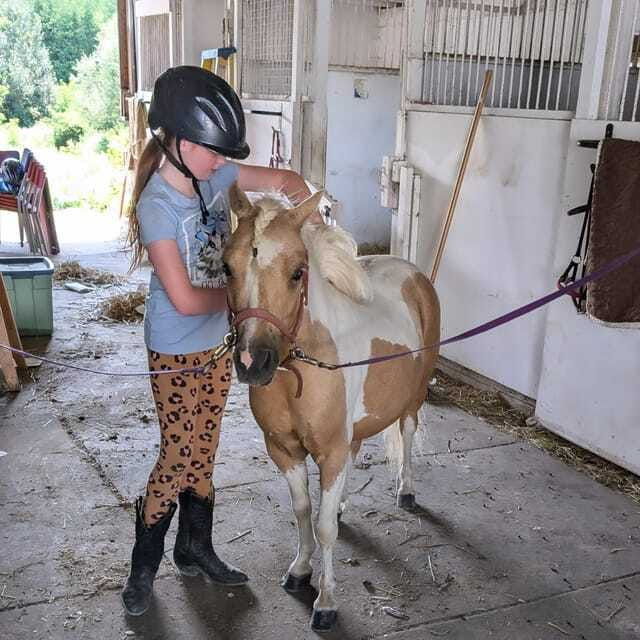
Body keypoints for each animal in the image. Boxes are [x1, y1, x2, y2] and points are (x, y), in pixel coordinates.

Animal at [223, 184, 440, 632]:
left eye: (297, 272)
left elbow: (323, 530)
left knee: (407, 434)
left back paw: (406, 491)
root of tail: (412, 272)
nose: (253, 362)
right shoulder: (285, 450)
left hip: (412, 399)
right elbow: (304, 511)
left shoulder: (331, 451)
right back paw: (341, 503)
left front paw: (325, 602)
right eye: (226, 268)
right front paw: (300, 570)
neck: (300, 371)